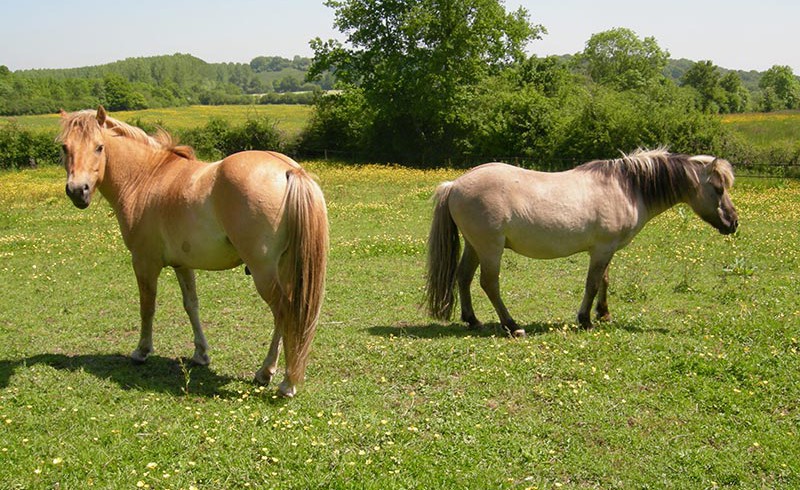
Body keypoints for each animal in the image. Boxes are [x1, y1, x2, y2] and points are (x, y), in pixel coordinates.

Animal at [58, 107, 328, 397]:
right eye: (65, 147)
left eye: (99, 147)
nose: (78, 191)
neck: (146, 178)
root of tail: (290, 170)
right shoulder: (182, 264)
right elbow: (191, 305)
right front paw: (201, 353)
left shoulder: (144, 262)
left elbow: (147, 306)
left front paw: (142, 351)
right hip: (284, 269)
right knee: (284, 316)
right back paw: (265, 372)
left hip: (263, 273)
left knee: (285, 313)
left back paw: (286, 382)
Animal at [425, 148, 738, 336]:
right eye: (718, 188)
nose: (733, 222)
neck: (627, 188)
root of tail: (455, 184)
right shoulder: (602, 249)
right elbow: (593, 283)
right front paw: (586, 318)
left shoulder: (606, 249)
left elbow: (604, 281)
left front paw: (604, 314)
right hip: (490, 248)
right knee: (489, 284)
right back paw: (512, 326)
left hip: (474, 246)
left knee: (463, 277)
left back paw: (472, 320)